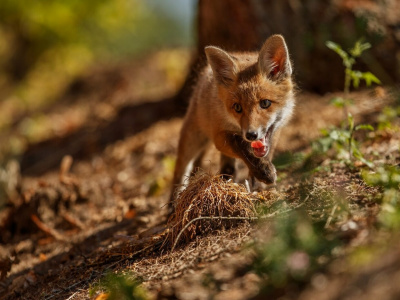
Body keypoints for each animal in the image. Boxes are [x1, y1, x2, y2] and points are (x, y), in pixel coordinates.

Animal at [170, 34, 296, 209]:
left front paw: (258, 180)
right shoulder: (219, 136)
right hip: (193, 138)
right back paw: (173, 203)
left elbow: (265, 152)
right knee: (180, 169)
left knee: (226, 166)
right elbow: (241, 145)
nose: (251, 134)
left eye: (265, 103)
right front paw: (263, 171)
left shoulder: (275, 130)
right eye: (237, 107)